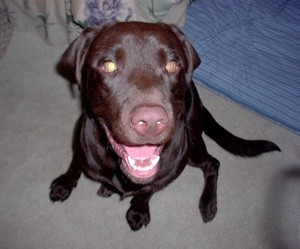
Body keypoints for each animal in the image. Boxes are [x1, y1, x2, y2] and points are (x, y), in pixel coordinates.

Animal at [48, 21, 280, 231]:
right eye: (109, 65)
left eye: (172, 65)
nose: (151, 121)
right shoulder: (80, 146)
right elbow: (75, 166)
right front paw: (64, 184)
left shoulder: (164, 175)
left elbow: (146, 192)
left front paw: (138, 211)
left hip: (192, 149)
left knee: (213, 163)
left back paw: (208, 204)